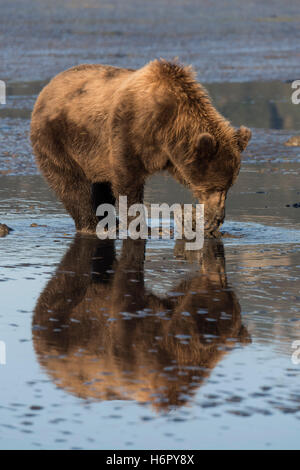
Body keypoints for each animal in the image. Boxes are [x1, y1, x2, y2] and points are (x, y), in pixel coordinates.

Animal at [30, 58, 251, 235]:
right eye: (216, 187)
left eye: (228, 186)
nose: (218, 218)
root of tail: (46, 89)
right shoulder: (129, 130)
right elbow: (127, 180)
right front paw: (148, 228)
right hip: (58, 139)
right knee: (71, 184)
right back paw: (92, 225)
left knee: (101, 185)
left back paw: (110, 222)